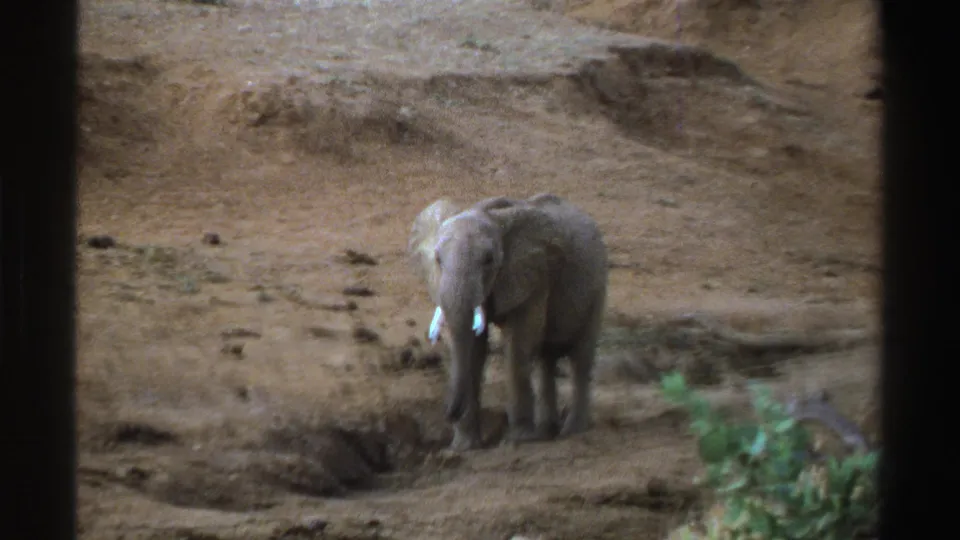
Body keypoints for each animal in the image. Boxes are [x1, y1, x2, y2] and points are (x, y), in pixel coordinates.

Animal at [408, 193, 609, 451]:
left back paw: (572, 431)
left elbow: (519, 343)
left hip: (598, 287)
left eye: (488, 260)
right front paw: (464, 447)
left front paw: (519, 439)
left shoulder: (535, 274)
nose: (448, 413)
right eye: (437, 260)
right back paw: (547, 431)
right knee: (546, 358)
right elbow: (474, 349)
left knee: (581, 358)